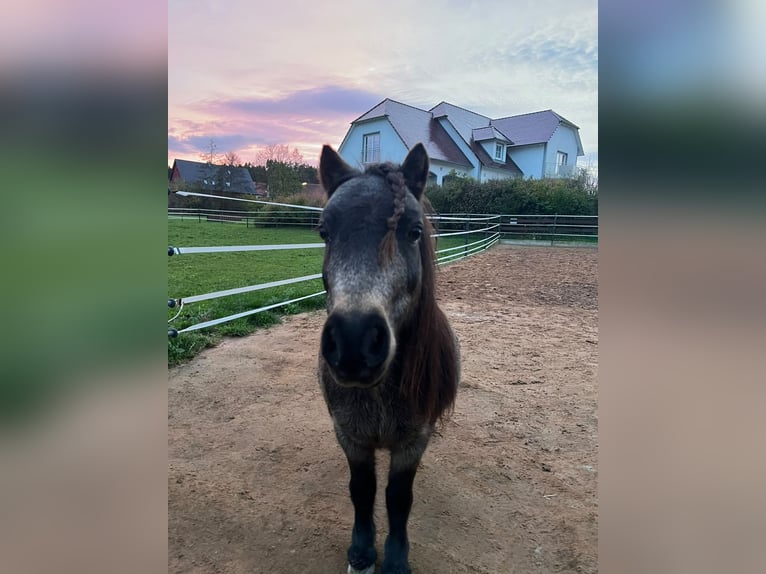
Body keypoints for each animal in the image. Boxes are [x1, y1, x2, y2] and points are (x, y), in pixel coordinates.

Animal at [317, 143, 460, 574]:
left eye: (414, 231)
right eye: (324, 232)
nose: (355, 341)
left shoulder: (413, 442)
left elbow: (398, 498)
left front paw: (395, 558)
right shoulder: (350, 437)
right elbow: (362, 490)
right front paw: (362, 552)